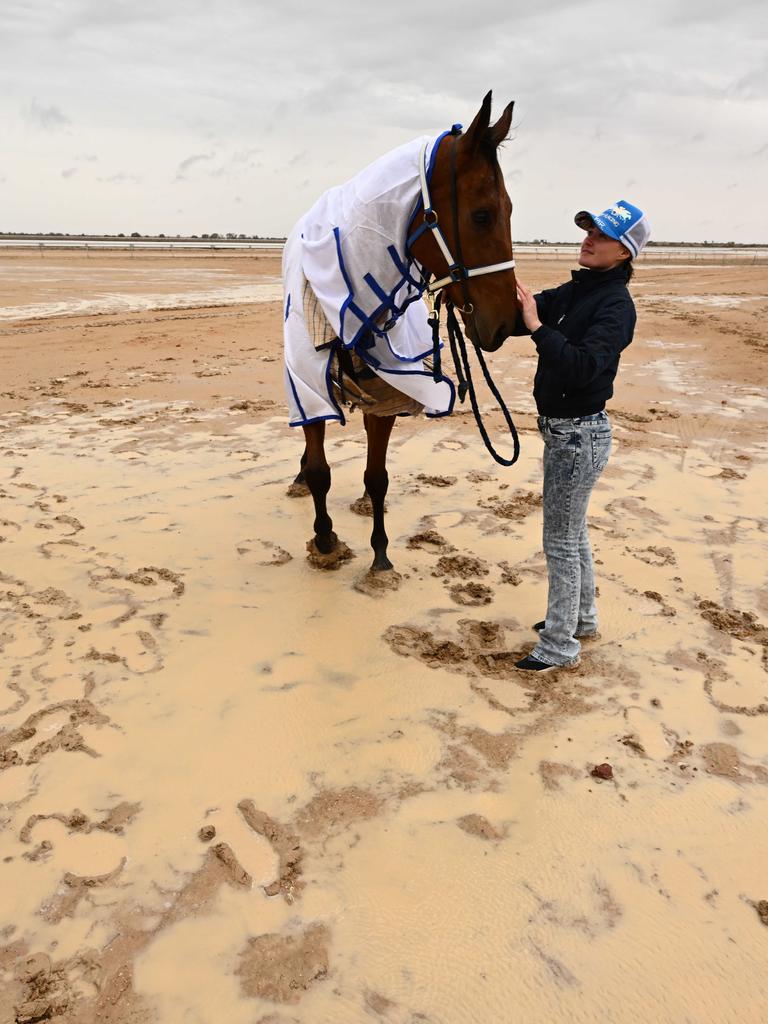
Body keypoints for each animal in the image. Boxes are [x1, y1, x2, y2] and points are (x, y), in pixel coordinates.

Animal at [280, 94, 518, 577]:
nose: (507, 322)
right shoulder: (308, 386)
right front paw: (325, 540)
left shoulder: (388, 390)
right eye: (482, 215)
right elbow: (319, 470)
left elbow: (377, 476)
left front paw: (380, 551)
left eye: (509, 210)